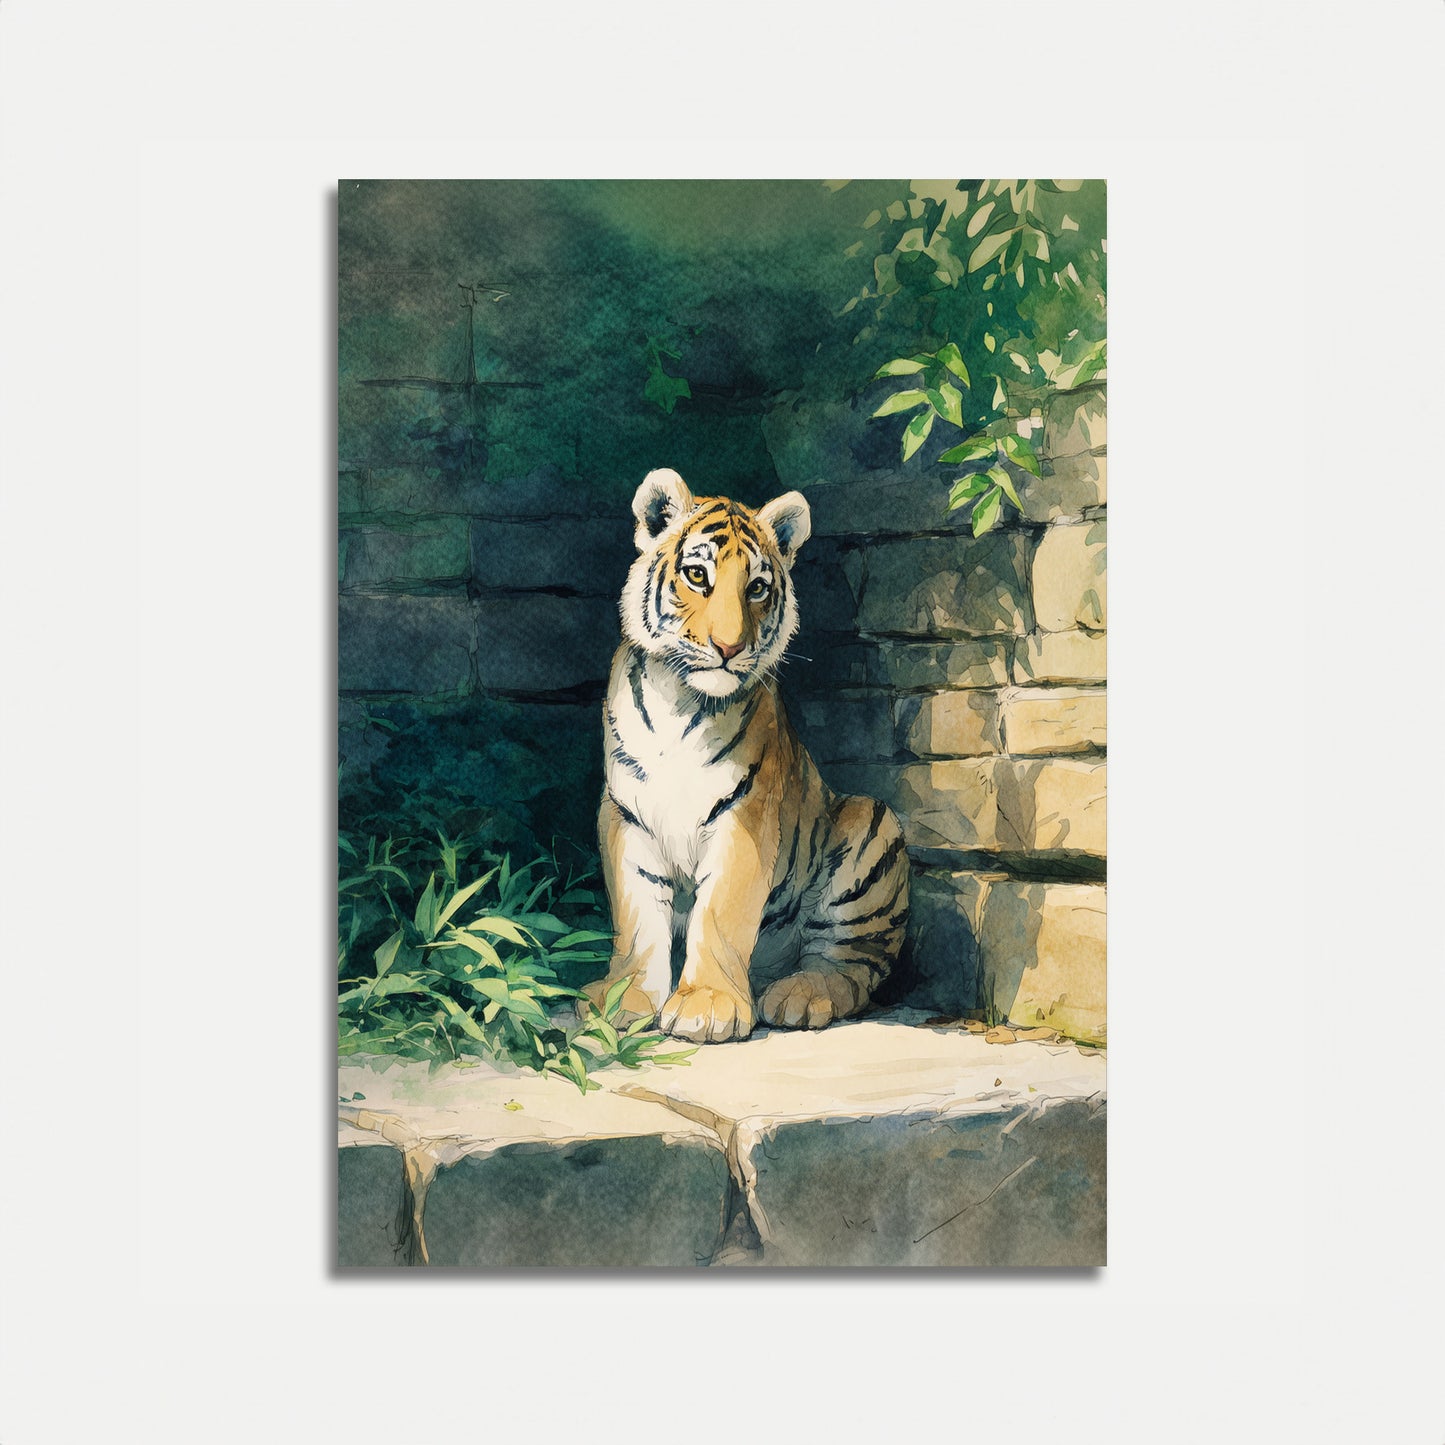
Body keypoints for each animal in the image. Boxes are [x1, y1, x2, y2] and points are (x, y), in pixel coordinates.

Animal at [593, 466, 910, 1044]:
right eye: (697, 575)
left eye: (757, 588)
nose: (729, 648)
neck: (680, 699)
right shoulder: (626, 814)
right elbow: (636, 916)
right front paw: (627, 1001)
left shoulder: (745, 814)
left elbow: (721, 911)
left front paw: (706, 1006)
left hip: (871, 825)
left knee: (853, 963)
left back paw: (797, 997)